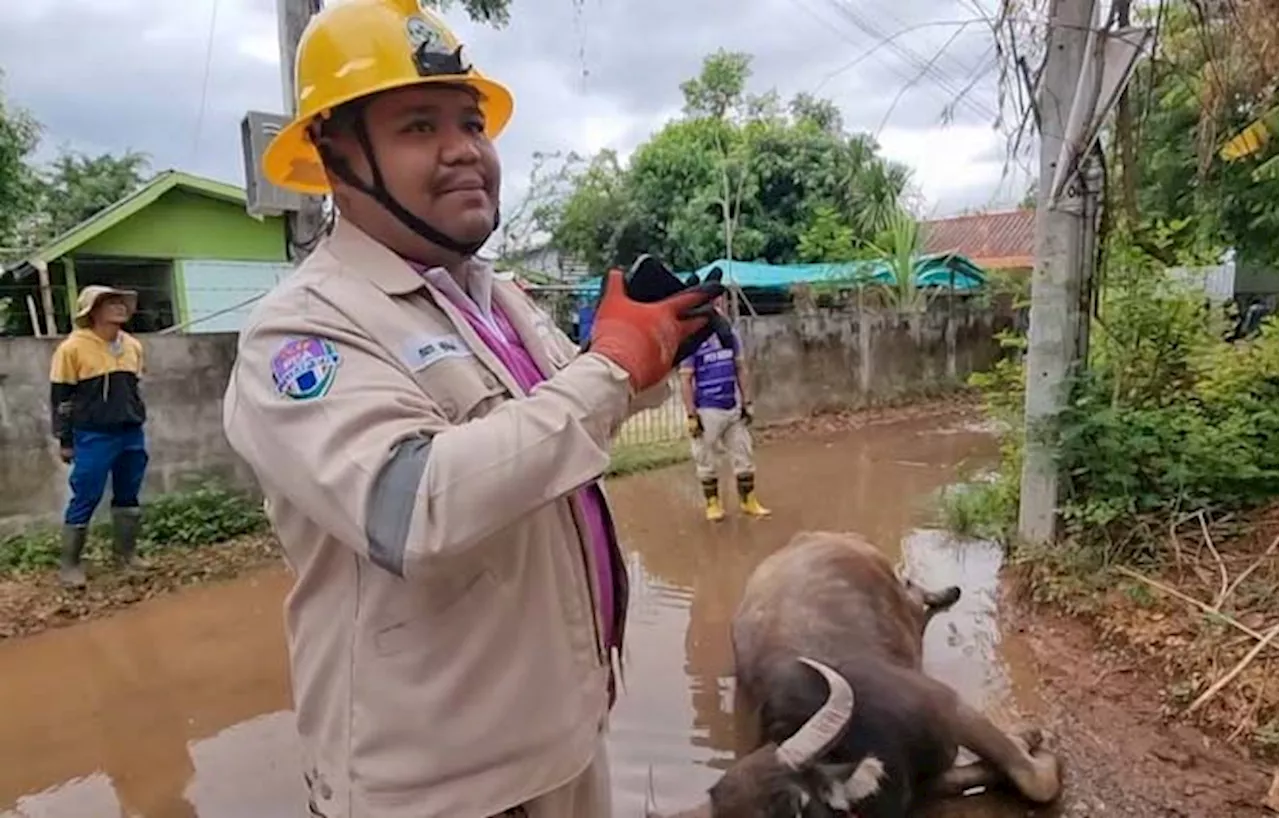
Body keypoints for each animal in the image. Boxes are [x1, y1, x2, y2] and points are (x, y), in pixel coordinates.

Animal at [650, 535, 1059, 814]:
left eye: (798, 806)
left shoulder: (948, 707)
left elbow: (1034, 779)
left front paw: (1031, 740)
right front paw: (1022, 741)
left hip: (902, 598)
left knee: (914, 595)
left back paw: (946, 593)